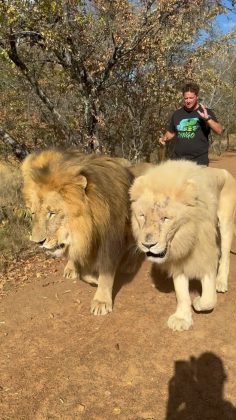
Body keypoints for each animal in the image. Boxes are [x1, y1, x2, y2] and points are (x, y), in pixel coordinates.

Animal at [20, 150, 149, 316]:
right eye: (33, 213)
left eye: (52, 213)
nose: (37, 242)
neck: (86, 228)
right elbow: (83, 270)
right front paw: (91, 277)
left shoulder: (110, 238)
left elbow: (106, 271)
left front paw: (101, 300)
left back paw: (129, 265)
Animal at [130, 160, 236, 332]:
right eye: (142, 216)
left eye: (166, 218)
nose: (147, 245)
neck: (185, 236)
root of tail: (223, 171)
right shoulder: (178, 261)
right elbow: (181, 294)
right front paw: (181, 318)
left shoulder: (204, 254)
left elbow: (208, 299)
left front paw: (198, 302)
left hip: (226, 223)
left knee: (225, 256)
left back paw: (221, 282)